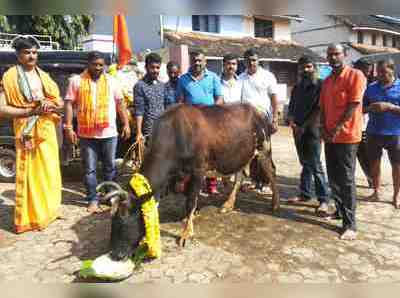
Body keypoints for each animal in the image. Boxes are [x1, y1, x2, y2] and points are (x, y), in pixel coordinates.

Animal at [104, 103, 280, 260]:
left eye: (124, 216)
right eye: (112, 218)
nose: (114, 254)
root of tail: (256, 109)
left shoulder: (198, 171)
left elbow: (190, 201)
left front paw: (186, 233)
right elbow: (188, 199)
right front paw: (190, 218)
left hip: (264, 149)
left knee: (272, 171)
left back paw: (275, 204)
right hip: (241, 155)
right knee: (239, 176)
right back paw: (228, 205)